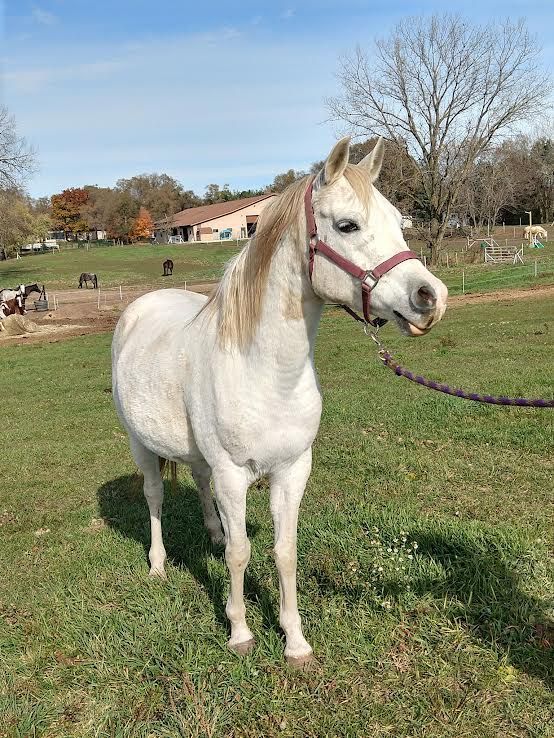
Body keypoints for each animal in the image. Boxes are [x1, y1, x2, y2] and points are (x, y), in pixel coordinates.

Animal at [112, 138, 448, 667]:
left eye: (399, 220)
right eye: (347, 225)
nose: (431, 297)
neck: (266, 374)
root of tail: (140, 307)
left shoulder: (292, 470)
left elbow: (283, 551)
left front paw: (295, 640)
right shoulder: (233, 475)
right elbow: (241, 554)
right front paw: (240, 632)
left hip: (198, 457)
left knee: (200, 484)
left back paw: (212, 533)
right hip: (140, 446)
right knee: (155, 497)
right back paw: (159, 565)